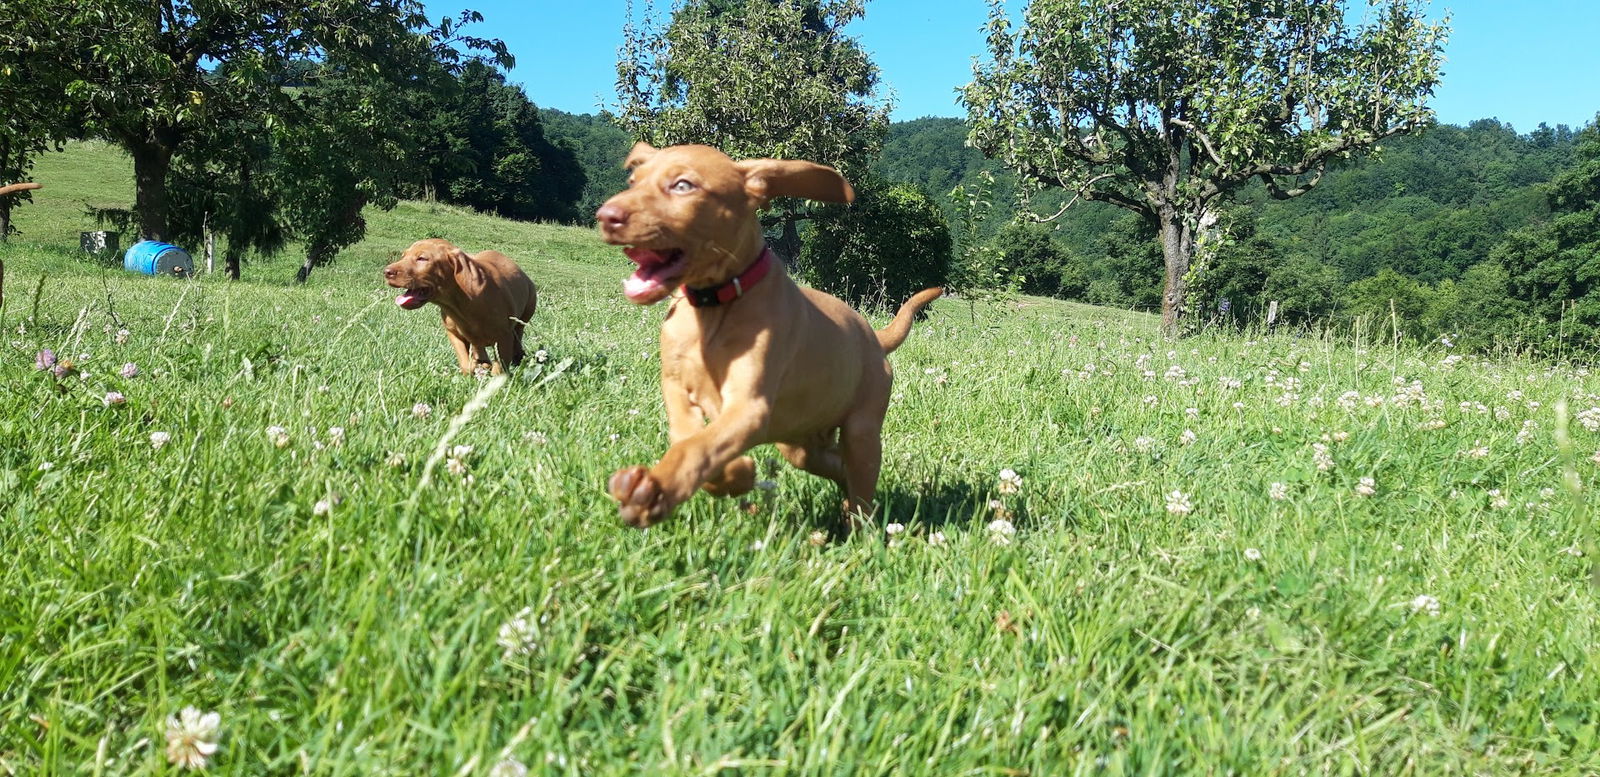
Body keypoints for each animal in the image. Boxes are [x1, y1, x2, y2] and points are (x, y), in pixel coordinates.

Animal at [380, 238, 537, 374]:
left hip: (525, 314)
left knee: (518, 334)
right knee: (478, 347)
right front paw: (474, 369)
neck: (459, 305)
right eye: (403, 256)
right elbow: (465, 363)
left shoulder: (504, 337)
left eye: (422, 258)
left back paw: (518, 357)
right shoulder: (454, 334)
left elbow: (500, 368)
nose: (386, 272)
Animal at [595, 142, 940, 524]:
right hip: (799, 443)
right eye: (633, 181)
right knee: (838, 466)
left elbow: (699, 447)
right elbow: (687, 436)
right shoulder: (675, 384)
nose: (606, 216)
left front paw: (655, 490)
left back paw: (859, 524)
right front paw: (736, 474)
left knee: (860, 483)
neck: (714, 306)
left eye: (683, 185)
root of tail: (875, 339)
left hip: (861, 429)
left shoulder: (749, 407)